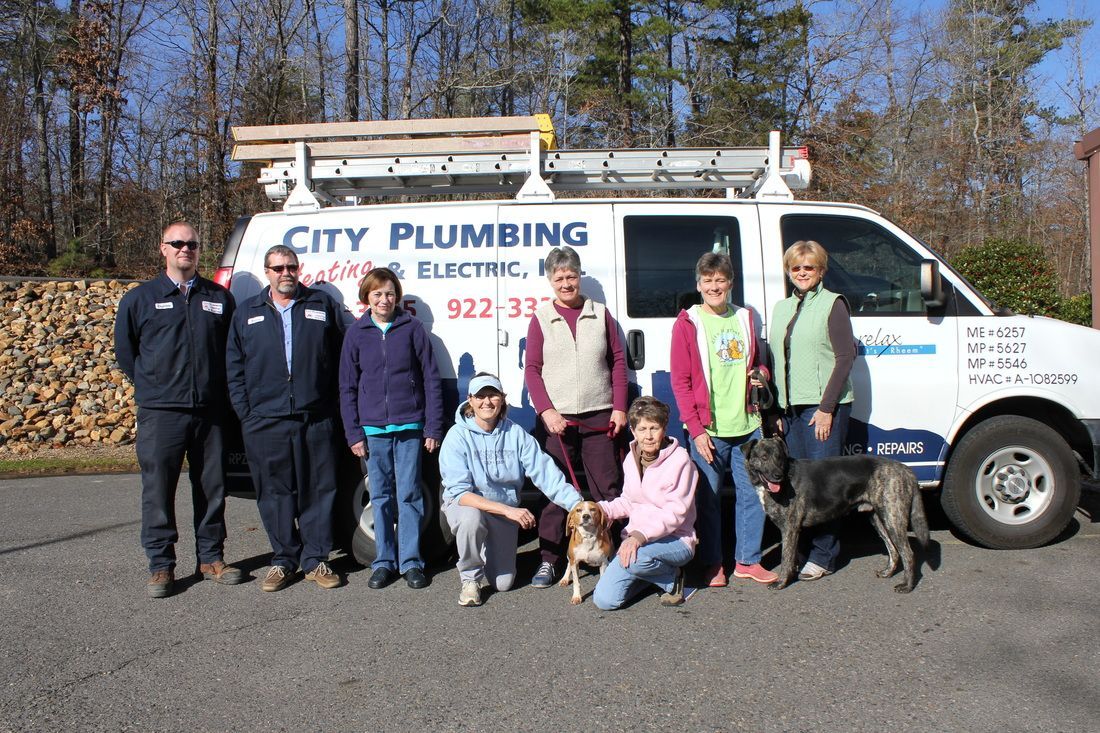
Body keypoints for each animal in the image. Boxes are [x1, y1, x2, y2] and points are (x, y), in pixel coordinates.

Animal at [743, 435, 932, 589]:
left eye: (779, 458)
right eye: (764, 457)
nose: (777, 476)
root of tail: (905, 469)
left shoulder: (790, 528)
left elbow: (785, 558)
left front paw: (781, 582)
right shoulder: (792, 530)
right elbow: (792, 557)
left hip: (893, 517)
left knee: (908, 553)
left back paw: (907, 586)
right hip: (879, 519)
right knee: (893, 549)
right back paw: (888, 573)